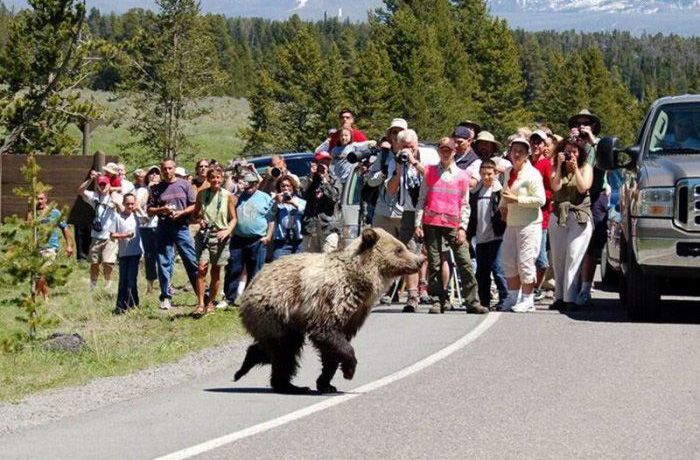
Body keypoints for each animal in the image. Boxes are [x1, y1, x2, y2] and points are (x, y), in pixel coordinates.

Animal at [234, 228, 422, 394]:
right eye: (399, 249)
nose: (419, 260)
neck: (361, 280)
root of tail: (254, 280)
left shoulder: (355, 313)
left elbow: (333, 349)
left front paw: (326, 383)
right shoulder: (332, 300)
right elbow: (328, 334)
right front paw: (348, 371)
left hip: (284, 320)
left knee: (277, 348)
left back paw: (254, 367)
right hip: (275, 311)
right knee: (285, 349)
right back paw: (286, 384)